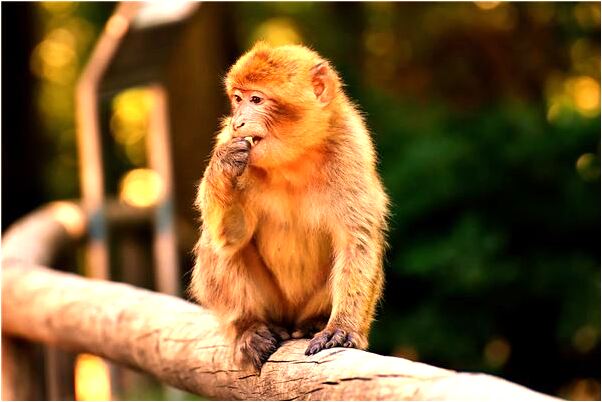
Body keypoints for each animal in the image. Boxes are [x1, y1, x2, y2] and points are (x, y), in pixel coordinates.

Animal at [191, 42, 390, 370]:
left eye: (256, 99)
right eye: (238, 99)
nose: (238, 121)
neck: (293, 159)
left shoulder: (350, 149)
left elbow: (355, 241)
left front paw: (342, 328)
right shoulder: (227, 139)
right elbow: (231, 236)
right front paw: (222, 165)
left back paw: (314, 322)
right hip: (272, 304)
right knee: (218, 245)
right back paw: (248, 327)